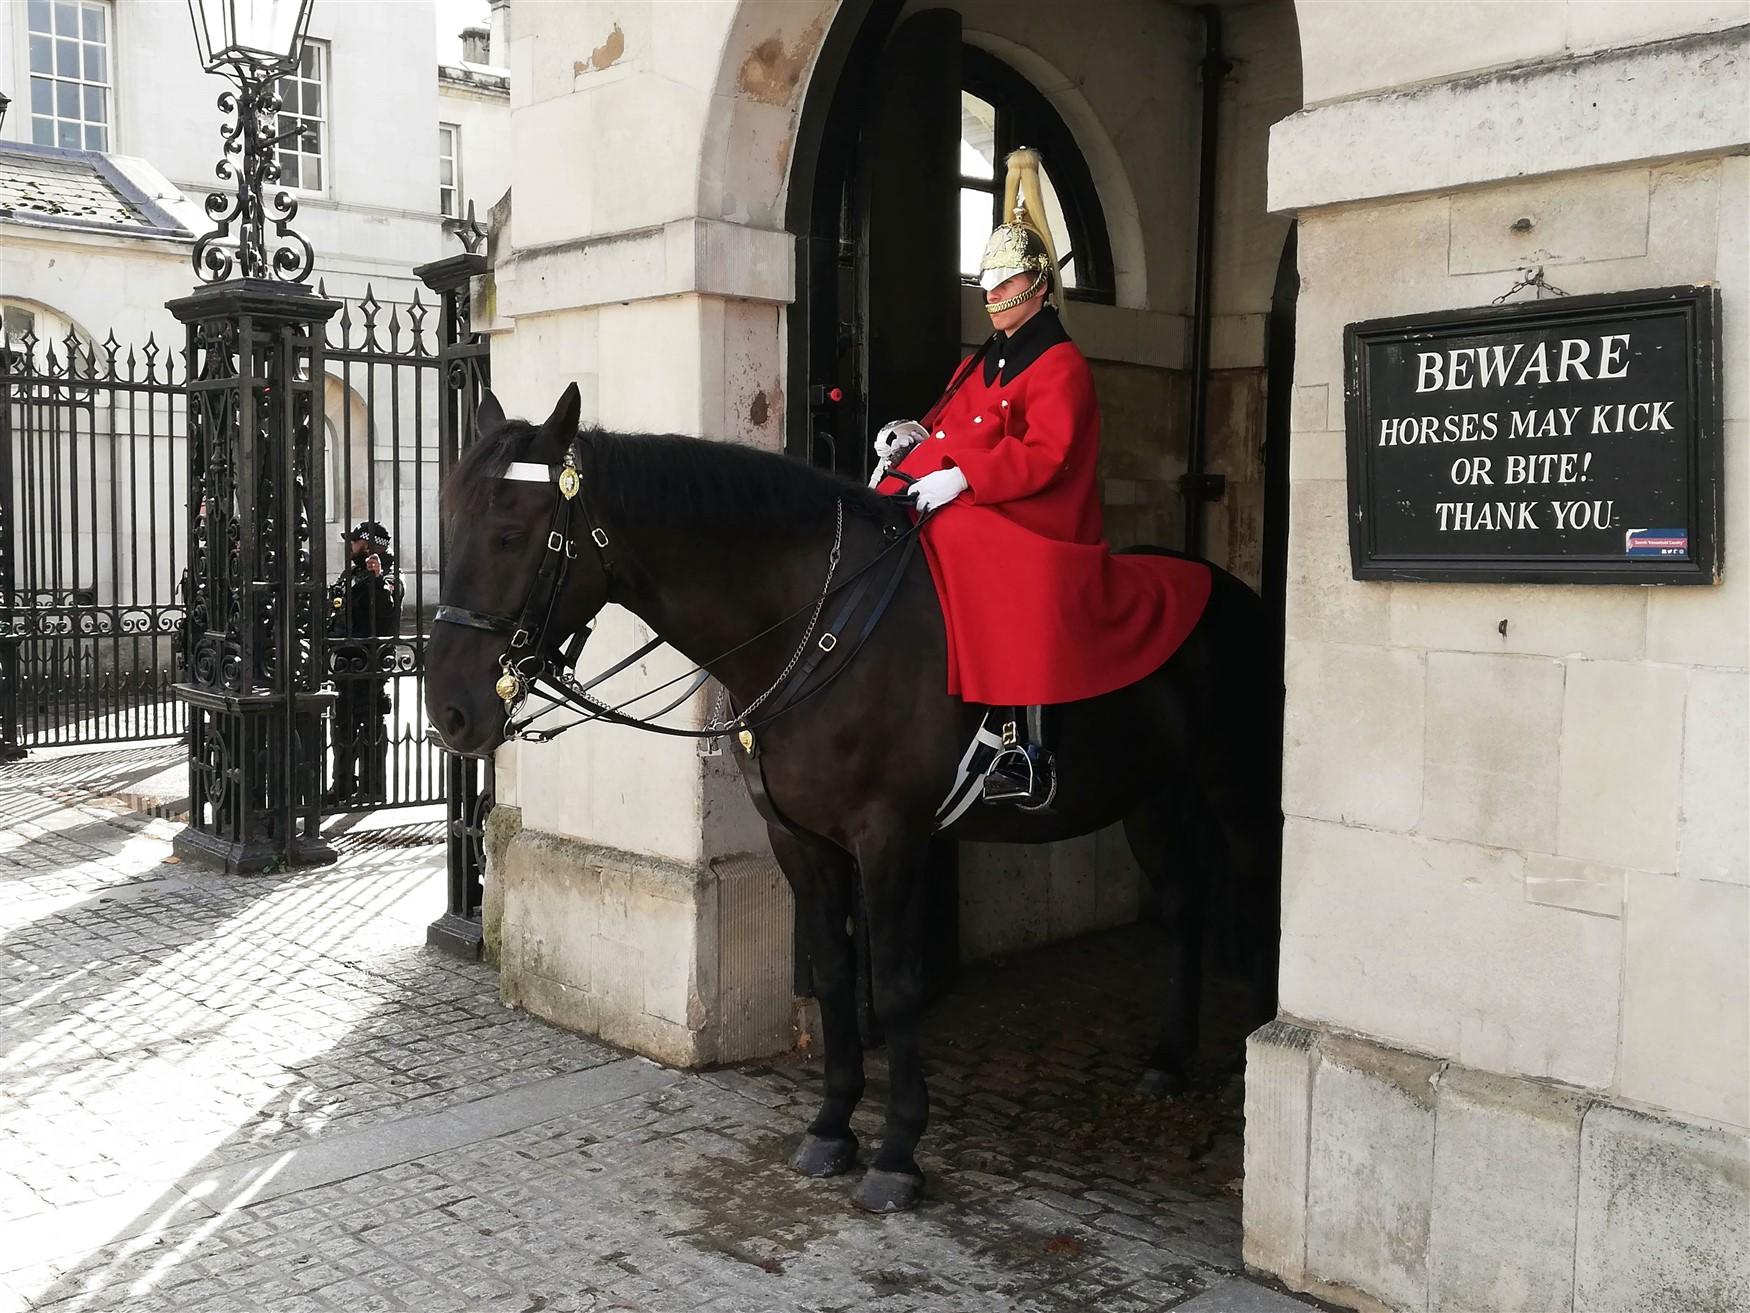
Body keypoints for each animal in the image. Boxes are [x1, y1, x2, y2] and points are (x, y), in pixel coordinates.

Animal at [423, 385, 1274, 1218]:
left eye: (510, 533)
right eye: (450, 524)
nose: (450, 713)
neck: (811, 617)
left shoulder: (891, 836)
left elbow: (893, 984)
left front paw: (898, 1152)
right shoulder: (800, 838)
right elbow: (834, 970)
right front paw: (832, 1125)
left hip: (1233, 793)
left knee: (1257, 900)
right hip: (1153, 795)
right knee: (1183, 905)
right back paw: (1170, 1060)